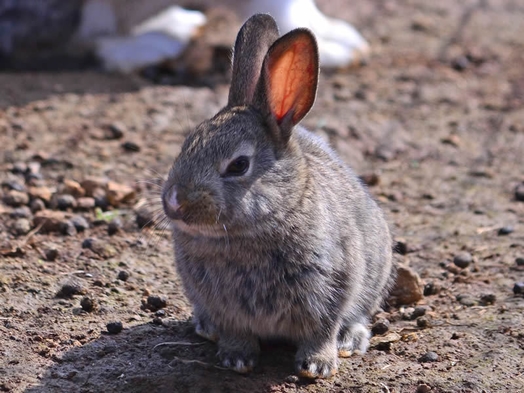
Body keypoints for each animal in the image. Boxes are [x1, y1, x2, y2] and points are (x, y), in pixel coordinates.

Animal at [162, 13, 396, 378]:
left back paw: (350, 341)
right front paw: (237, 359)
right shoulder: (222, 304)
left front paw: (317, 365)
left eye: (239, 165)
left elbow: (322, 329)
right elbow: (235, 330)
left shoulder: (333, 283)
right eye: (186, 144)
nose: (174, 202)